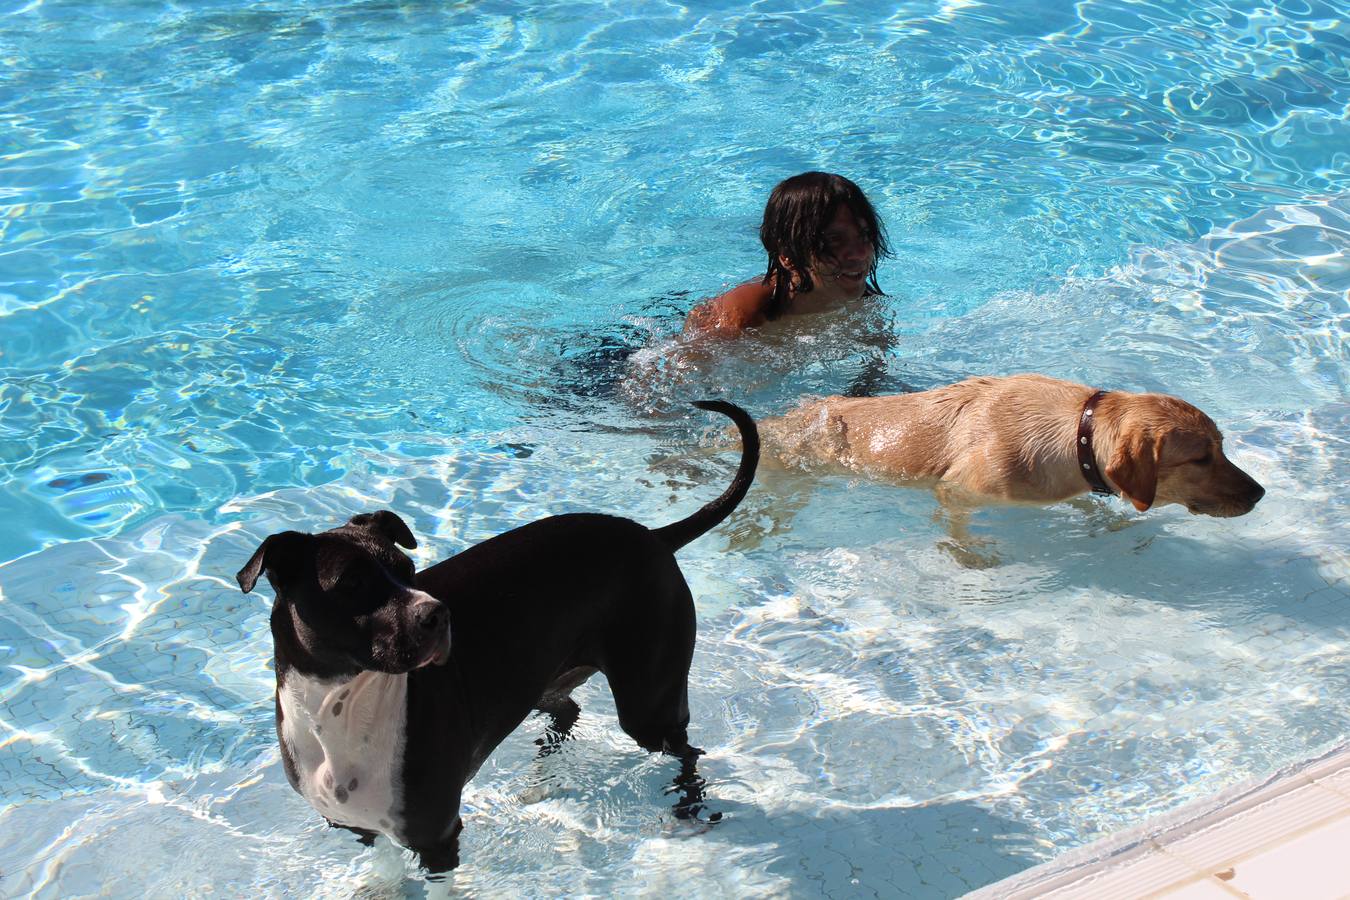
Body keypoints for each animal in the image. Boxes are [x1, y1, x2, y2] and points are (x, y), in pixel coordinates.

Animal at [236, 402, 756, 874]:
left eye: (408, 569)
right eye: (351, 583)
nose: (438, 614)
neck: (337, 707)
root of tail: (651, 534)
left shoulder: (437, 835)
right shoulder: (356, 826)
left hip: (649, 703)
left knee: (683, 750)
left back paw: (686, 813)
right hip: (543, 677)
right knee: (567, 709)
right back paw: (542, 782)